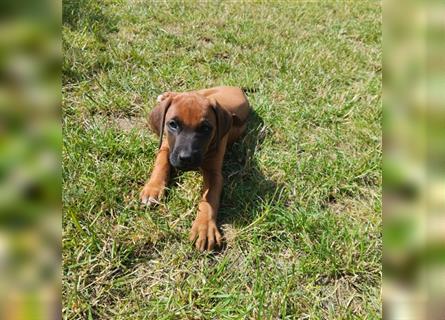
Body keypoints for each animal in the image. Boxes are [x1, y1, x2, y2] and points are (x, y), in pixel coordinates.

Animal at [139, 86, 250, 251]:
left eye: (205, 128)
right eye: (173, 124)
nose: (186, 158)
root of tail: (236, 87)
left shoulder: (214, 174)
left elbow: (209, 198)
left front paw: (204, 227)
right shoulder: (166, 146)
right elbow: (161, 164)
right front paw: (153, 188)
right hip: (204, 91)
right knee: (182, 93)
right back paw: (167, 95)